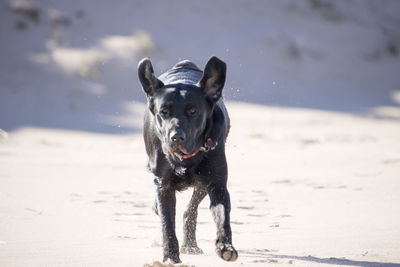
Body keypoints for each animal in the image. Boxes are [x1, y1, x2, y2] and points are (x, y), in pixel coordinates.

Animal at [138, 56, 238, 264]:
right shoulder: (164, 185)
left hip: (202, 184)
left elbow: (223, 217)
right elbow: (167, 225)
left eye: (193, 111)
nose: (176, 137)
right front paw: (170, 257)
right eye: (164, 111)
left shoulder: (217, 184)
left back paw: (190, 244)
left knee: (190, 211)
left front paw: (225, 246)